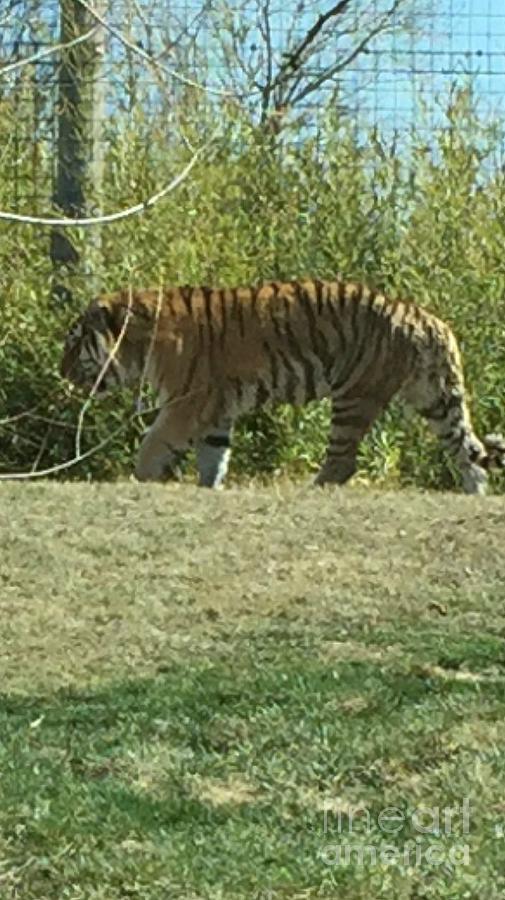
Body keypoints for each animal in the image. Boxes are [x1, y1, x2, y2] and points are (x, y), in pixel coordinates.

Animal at [60, 280, 504, 496]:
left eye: (74, 342)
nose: (61, 372)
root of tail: (429, 320)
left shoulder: (187, 402)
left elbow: (153, 443)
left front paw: (142, 478)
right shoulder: (217, 409)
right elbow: (213, 455)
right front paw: (209, 487)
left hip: (354, 395)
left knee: (343, 461)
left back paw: (314, 488)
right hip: (435, 399)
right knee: (468, 451)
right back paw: (475, 493)